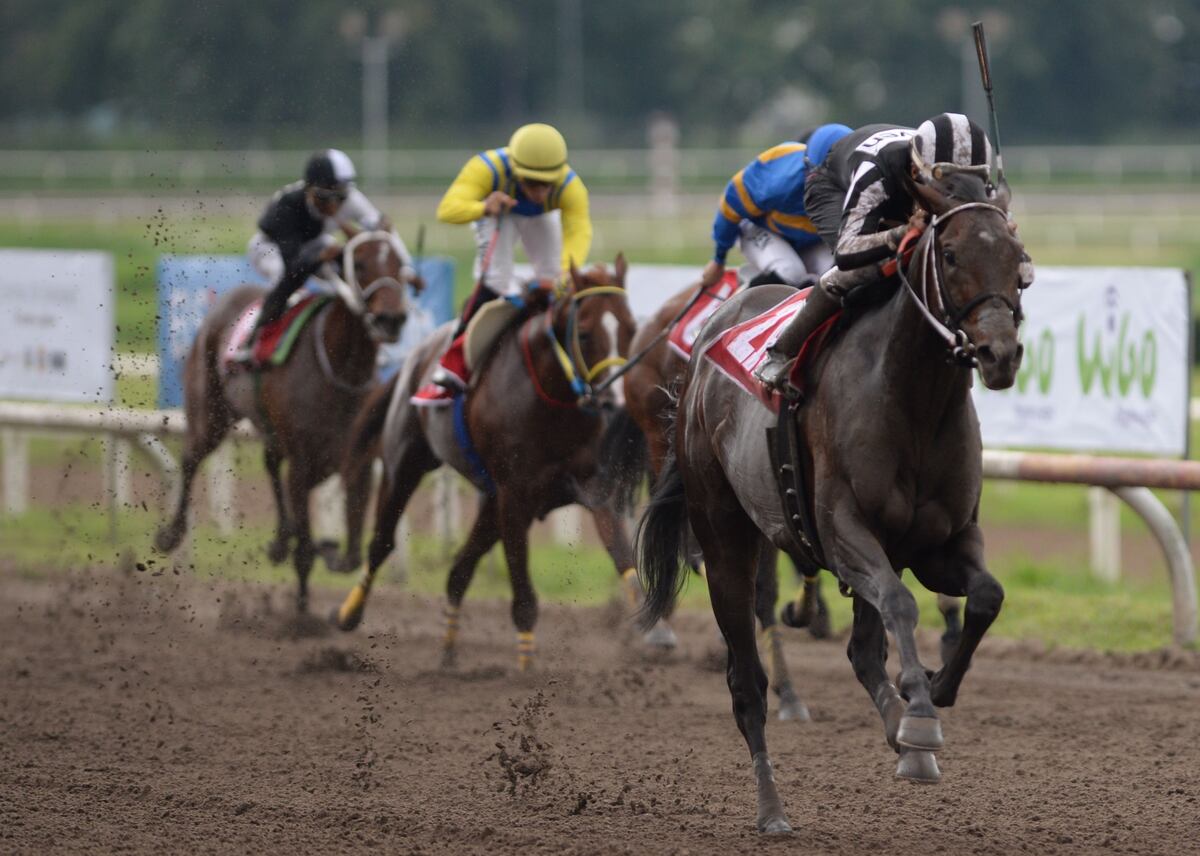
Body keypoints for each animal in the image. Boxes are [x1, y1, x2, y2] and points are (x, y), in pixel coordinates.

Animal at [157, 230, 410, 609]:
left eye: (399, 265)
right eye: (361, 263)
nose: (391, 319)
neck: (341, 369)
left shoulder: (357, 463)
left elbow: (351, 555)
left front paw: (325, 549)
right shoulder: (303, 463)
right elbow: (305, 551)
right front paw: (301, 611)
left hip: (270, 428)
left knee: (270, 462)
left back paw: (280, 538)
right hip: (211, 414)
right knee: (190, 459)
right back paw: (171, 535)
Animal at [333, 253, 681, 667]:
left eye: (629, 328)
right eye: (583, 333)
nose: (613, 402)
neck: (553, 401)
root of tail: (417, 354)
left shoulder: (592, 487)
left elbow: (623, 556)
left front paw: (657, 627)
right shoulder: (515, 496)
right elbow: (524, 593)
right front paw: (526, 665)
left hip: (489, 501)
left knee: (459, 568)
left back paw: (448, 650)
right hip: (406, 464)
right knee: (382, 542)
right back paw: (350, 611)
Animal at [643, 176, 1027, 830]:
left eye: (1017, 258)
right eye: (951, 255)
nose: (999, 353)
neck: (913, 399)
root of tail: (698, 357)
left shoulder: (940, 543)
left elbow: (985, 597)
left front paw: (932, 690)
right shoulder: (844, 532)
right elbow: (901, 604)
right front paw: (920, 717)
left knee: (862, 652)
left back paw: (899, 726)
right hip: (724, 539)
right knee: (746, 684)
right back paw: (772, 807)